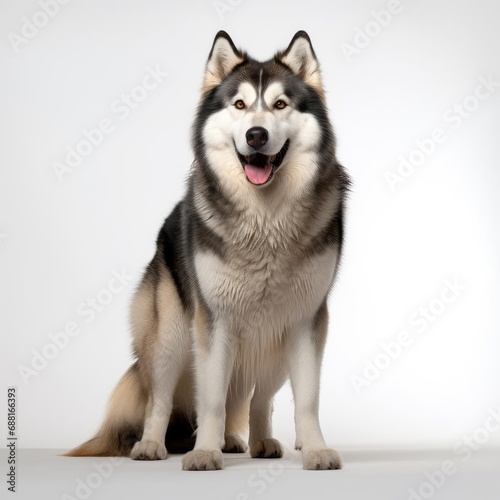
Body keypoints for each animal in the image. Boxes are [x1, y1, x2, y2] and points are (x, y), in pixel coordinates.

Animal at [65, 30, 348, 468]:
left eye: (280, 104)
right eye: (239, 105)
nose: (256, 135)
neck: (265, 219)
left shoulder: (306, 320)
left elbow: (307, 400)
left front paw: (315, 449)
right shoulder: (215, 321)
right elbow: (211, 397)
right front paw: (204, 452)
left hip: (274, 341)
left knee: (258, 399)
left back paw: (255, 441)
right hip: (170, 336)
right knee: (160, 398)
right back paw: (152, 444)